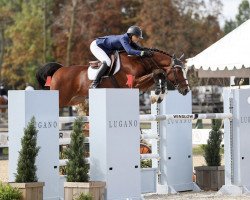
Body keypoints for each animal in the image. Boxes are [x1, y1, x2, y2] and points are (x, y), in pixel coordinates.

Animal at [35, 48, 189, 108]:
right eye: (178, 71)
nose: (186, 90)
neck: (140, 61)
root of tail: (59, 70)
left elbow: (159, 73)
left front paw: (159, 96)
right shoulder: (134, 83)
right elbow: (158, 73)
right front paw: (157, 95)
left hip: (74, 100)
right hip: (61, 99)